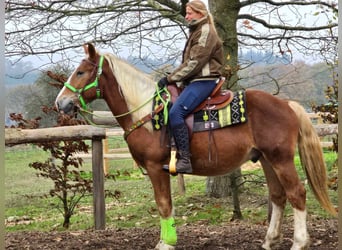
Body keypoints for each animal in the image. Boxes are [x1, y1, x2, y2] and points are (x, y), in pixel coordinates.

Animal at [54, 44, 336, 249]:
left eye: (81, 72)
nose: (61, 103)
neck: (148, 113)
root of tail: (288, 105)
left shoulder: (156, 168)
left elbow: (164, 204)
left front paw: (166, 243)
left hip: (281, 159)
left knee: (297, 193)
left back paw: (299, 243)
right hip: (266, 159)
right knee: (278, 195)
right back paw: (269, 241)